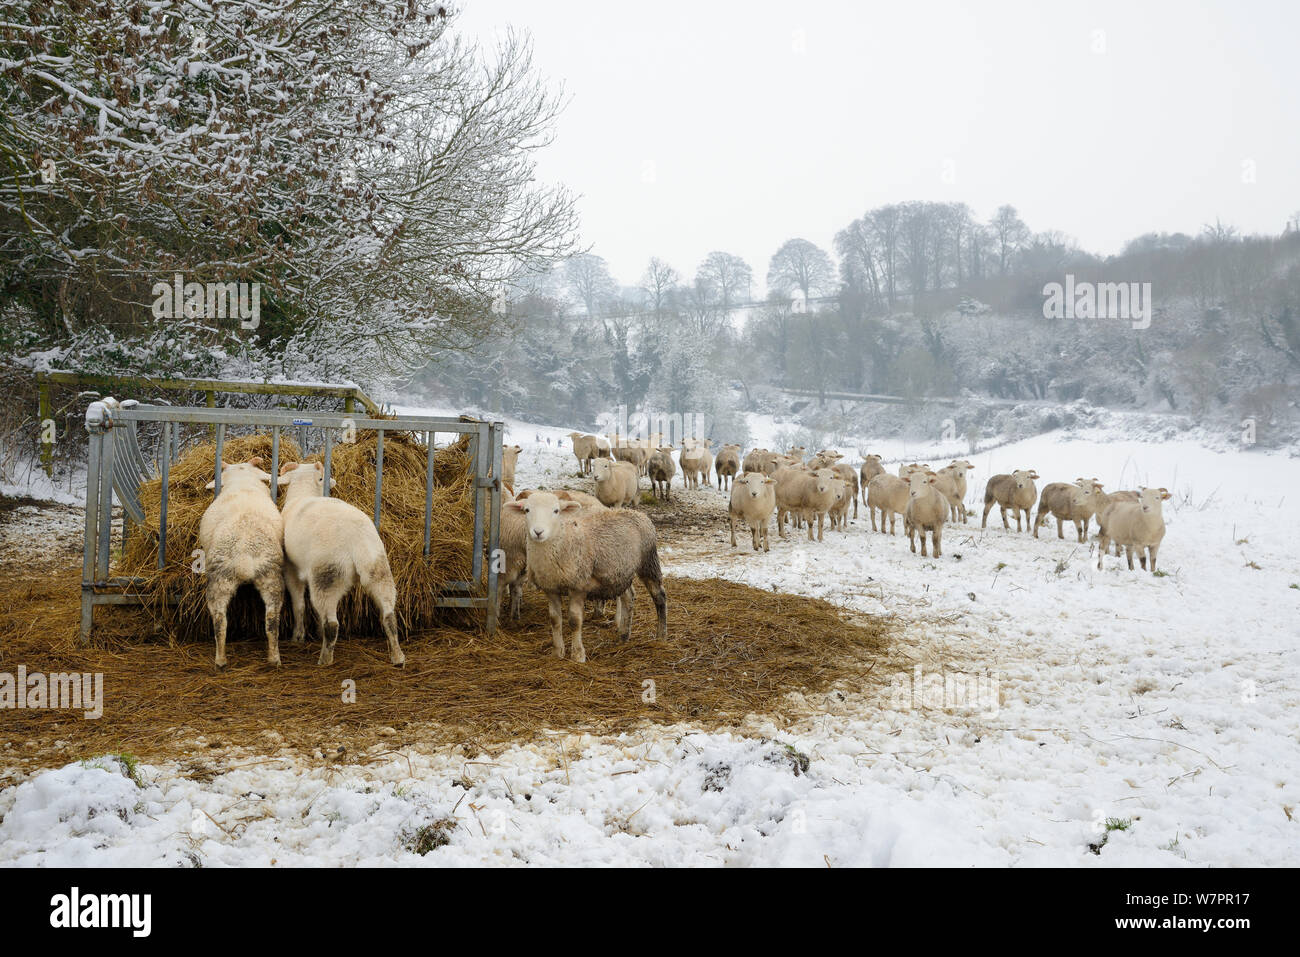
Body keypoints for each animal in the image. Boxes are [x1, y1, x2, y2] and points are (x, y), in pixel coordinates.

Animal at [197, 458, 284, 669]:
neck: (242, 481)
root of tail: (244, 556)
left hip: (223, 579)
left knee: (220, 621)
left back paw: (221, 661)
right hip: (269, 577)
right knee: (271, 620)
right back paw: (273, 658)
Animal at [277, 462, 405, 668]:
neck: (302, 494)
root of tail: (355, 537)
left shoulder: (291, 569)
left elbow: (299, 605)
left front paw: (297, 636)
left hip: (327, 575)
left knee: (332, 624)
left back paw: (325, 659)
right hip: (378, 568)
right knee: (389, 615)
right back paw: (398, 657)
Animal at [504, 491, 667, 662]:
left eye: (556, 511)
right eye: (527, 510)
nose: (538, 532)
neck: (563, 540)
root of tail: (637, 513)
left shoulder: (578, 586)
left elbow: (575, 621)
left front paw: (577, 655)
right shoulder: (551, 588)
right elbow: (555, 620)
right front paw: (557, 653)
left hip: (648, 561)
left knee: (659, 596)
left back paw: (661, 636)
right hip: (619, 572)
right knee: (629, 597)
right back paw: (623, 635)